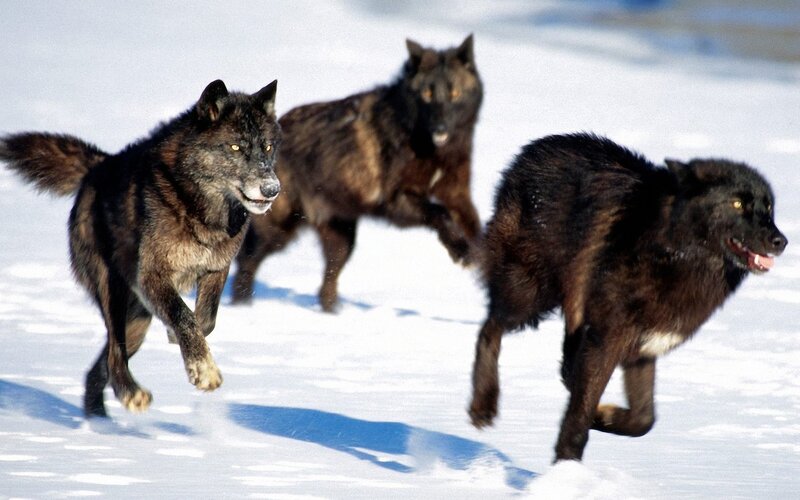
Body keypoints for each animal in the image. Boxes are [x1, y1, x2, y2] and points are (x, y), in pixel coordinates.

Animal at [0, 79, 281, 417]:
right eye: (236, 147)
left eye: (267, 147)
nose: (272, 189)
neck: (199, 207)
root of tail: (99, 165)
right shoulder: (151, 276)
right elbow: (185, 316)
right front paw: (203, 370)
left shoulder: (216, 269)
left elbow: (204, 320)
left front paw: (184, 345)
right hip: (114, 292)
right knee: (113, 352)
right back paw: (130, 394)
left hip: (138, 321)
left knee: (98, 368)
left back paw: (98, 421)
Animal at [231, 35, 483, 311]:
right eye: (427, 94)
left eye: (454, 93)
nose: (440, 128)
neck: (429, 147)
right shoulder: (396, 202)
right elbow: (439, 213)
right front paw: (461, 252)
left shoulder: (458, 194)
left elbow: (474, 226)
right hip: (278, 231)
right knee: (246, 261)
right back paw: (241, 306)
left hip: (342, 239)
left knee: (327, 284)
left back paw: (332, 314)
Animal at [468, 133, 787, 461]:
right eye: (737, 204)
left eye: (769, 208)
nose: (782, 241)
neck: (671, 253)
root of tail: (529, 150)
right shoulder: (606, 341)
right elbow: (580, 418)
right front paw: (567, 465)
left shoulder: (643, 349)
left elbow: (643, 420)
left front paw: (603, 415)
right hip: (529, 295)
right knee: (489, 328)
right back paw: (483, 406)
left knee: (563, 363)